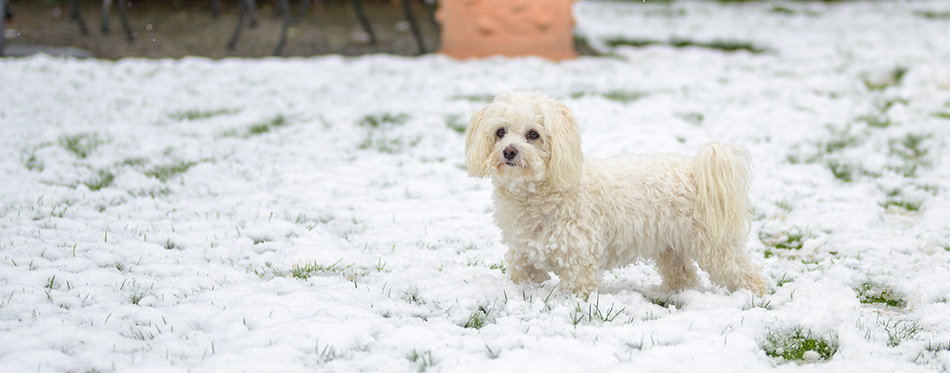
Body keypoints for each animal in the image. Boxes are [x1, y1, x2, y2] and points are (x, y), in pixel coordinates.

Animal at [464, 91, 768, 296]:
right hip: (671, 246)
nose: (509, 151)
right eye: (500, 132)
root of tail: (694, 171)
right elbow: (522, 272)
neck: (537, 195)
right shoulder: (524, 252)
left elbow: (579, 289)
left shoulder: (579, 258)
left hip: (714, 246)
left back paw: (754, 297)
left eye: (533, 134)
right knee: (684, 275)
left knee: (746, 272)